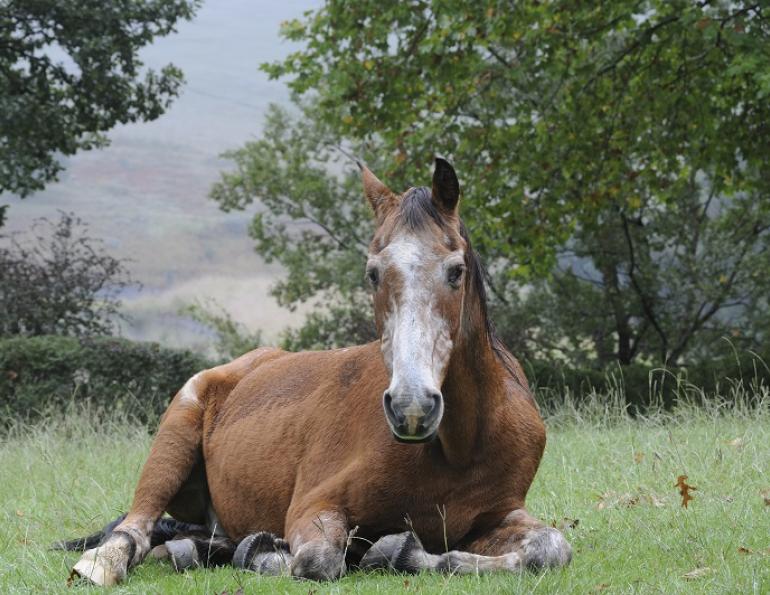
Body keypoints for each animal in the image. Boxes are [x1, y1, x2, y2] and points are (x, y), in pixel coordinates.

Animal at [63, 158, 568, 588]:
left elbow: (551, 547)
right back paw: (108, 562)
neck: (460, 447)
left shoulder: (497, 516)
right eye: (372, 273)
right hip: (173, 439)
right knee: (136, 528)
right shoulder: (315, 506)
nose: (412, 407)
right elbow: (317, 560)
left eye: (456, 270)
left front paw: (395, 551)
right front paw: (278, 554)